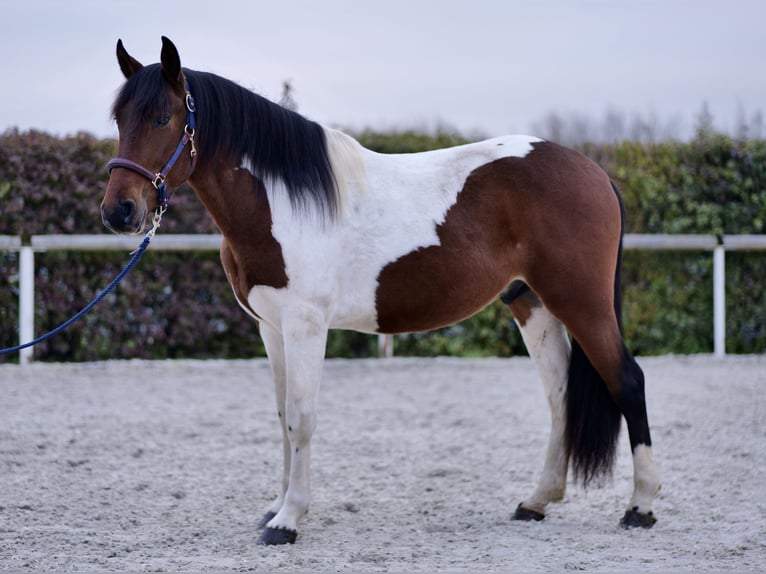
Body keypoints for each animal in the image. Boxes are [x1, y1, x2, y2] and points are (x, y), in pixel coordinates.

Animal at [102, 38, 664, 548]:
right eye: (119, 119)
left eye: (162, 119)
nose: (119, 211)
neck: (281, 201)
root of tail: (594, 172)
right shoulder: (272, 328)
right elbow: (283, 416)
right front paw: (276, 507)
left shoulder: (306, 325)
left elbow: (302, 418)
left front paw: (288, 521)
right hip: (532, 304)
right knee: (560, 396)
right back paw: (536, 502)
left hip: (581, 303)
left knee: (627, 381)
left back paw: (640, 507)